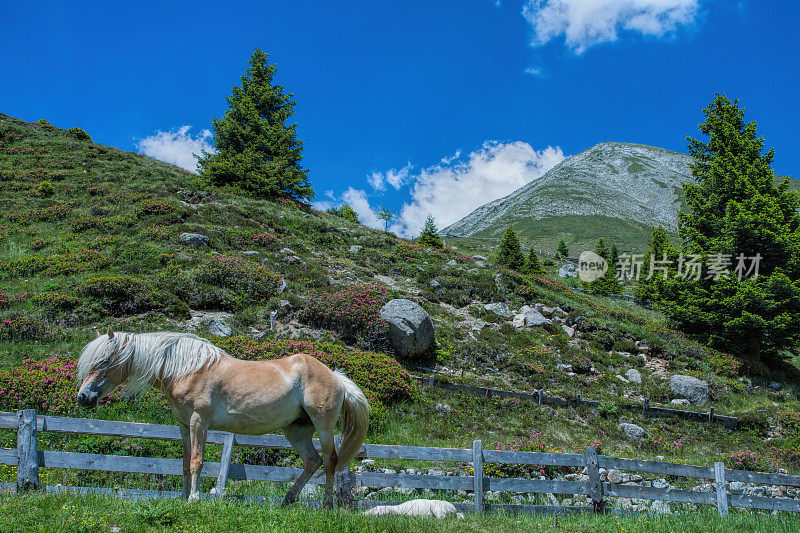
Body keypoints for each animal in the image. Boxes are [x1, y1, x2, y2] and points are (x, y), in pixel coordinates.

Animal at [76, 326, 370, 504]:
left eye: (104, 361)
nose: (83, 397)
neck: (187, 369)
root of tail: (335, 375)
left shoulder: (199, 422)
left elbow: (197, 462)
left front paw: (194, 499)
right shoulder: (183, 425)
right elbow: (185, 464)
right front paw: (183, 498)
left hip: (323, 425)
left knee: (330, 461)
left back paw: (327, 504)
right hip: (295, 430)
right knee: (312, 462)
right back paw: (288, 500)